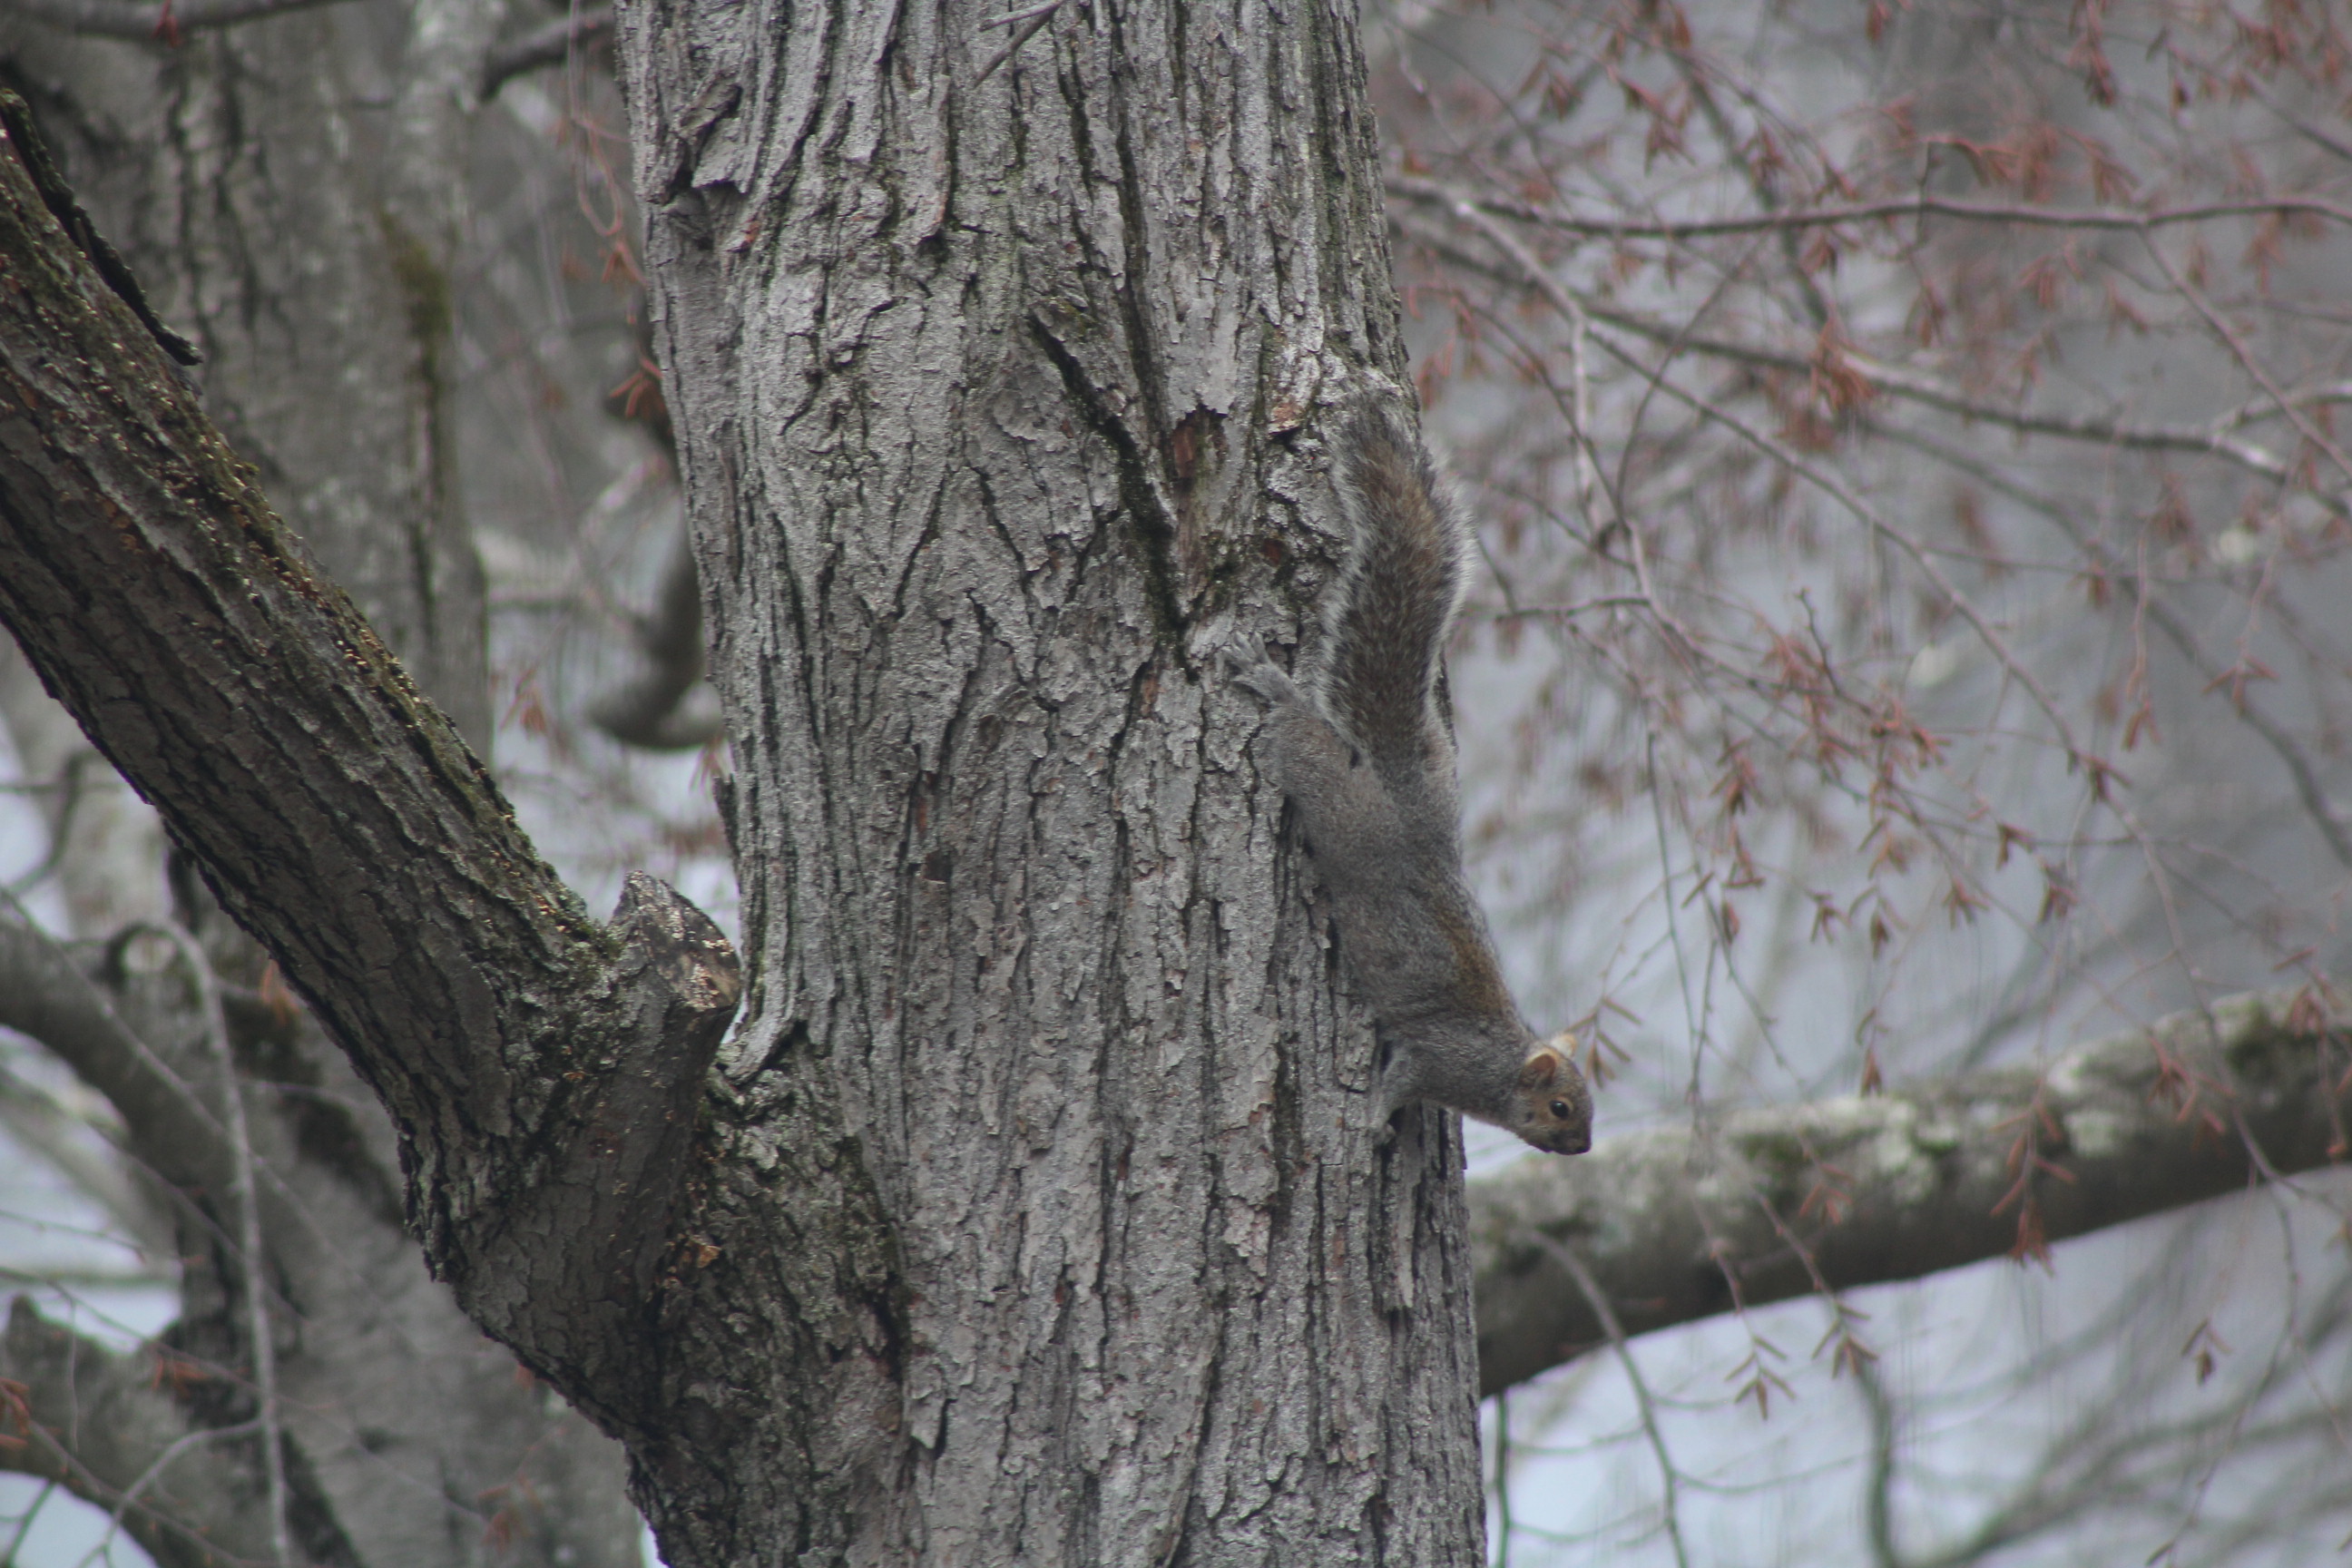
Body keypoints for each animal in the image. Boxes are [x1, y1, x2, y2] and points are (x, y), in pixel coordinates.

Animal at [1232, 404, 1599, 1161]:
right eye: (1559, 1107)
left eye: (1590, 1106)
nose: (1581, 1149)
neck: (1500, 1065)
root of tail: (1401, 792)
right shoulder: (1437, 1061)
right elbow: (1397, 1081)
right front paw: (1373, 1122)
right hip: (1335, 798)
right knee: (1300, 739)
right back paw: (1274, 687)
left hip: (1437, 767)